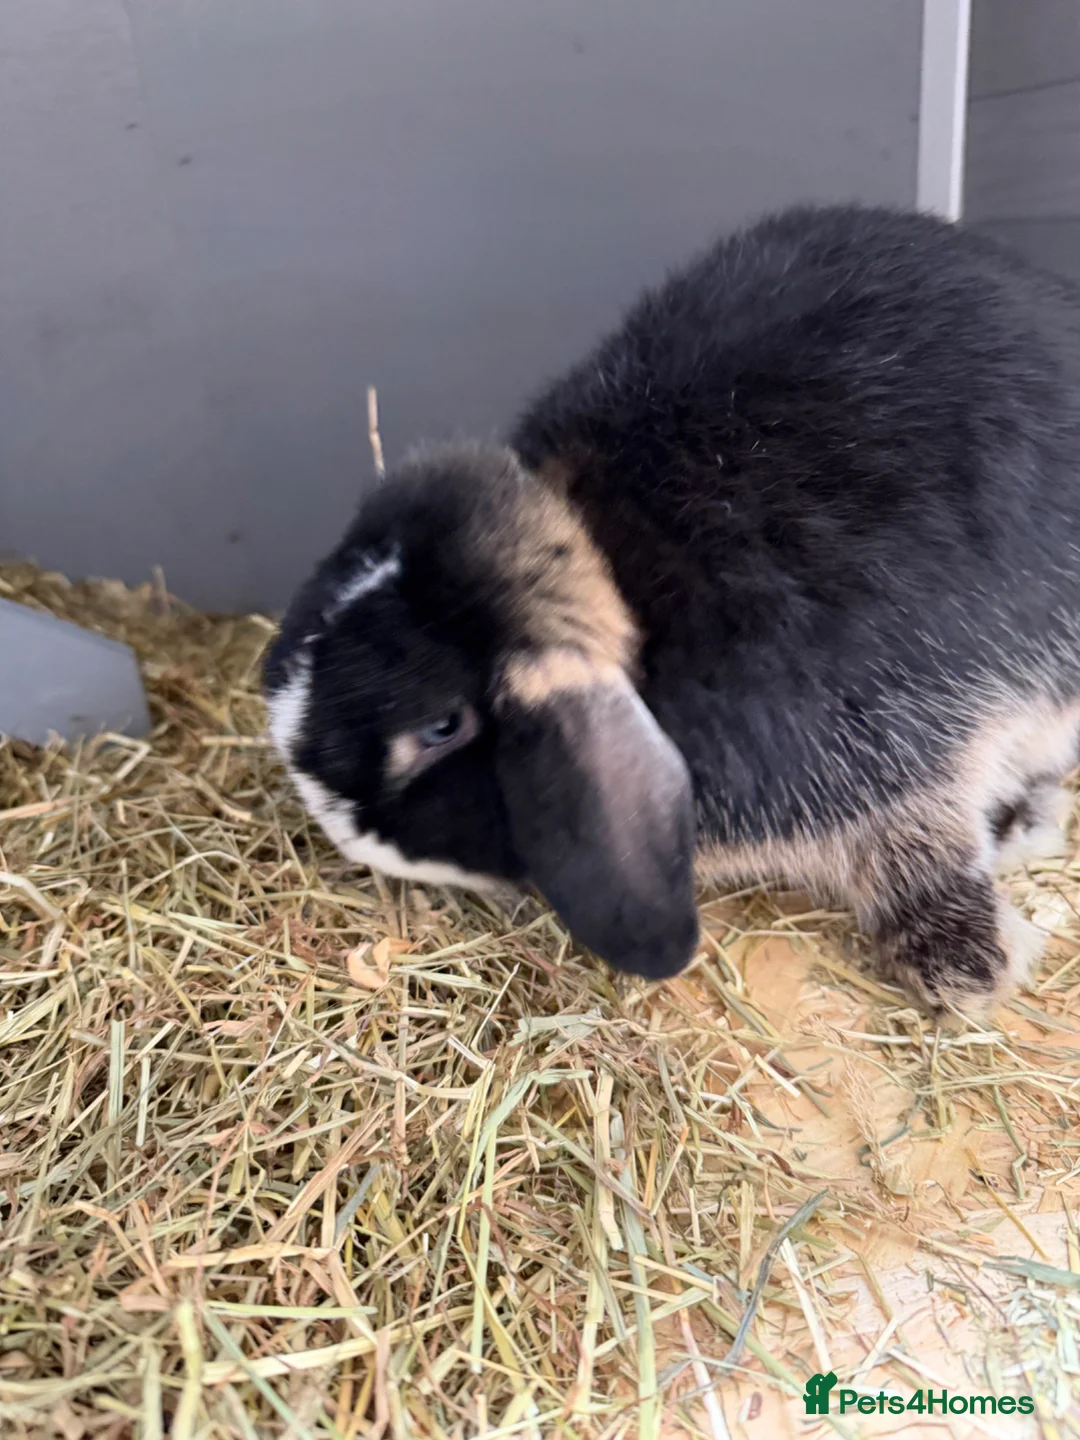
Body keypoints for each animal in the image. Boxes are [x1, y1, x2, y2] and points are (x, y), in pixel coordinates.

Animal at [265, 203, 1080, 1018]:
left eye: (439, 728)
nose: (331, 824)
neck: (619, 576)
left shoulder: (896, 761)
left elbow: (921, 852)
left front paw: (970, 968)